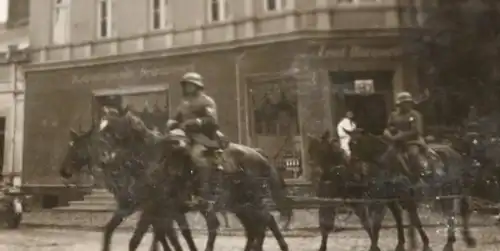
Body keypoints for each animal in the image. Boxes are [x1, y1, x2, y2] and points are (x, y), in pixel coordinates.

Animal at [94, 108, 290, 251]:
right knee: (256, 226)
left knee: (262, 222)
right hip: (239, 205)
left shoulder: (154, 209)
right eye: (100, 131)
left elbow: (143, 239)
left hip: (248, 202)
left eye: (111, 132)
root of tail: (258, 154)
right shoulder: (155, 211)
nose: (102, 160)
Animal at [350, 130, 478, 251]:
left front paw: (425, 244)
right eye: (349, 145)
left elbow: (415, 221)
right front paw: (394, 244)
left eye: (356, 145)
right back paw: (458, 239)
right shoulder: (390, 200)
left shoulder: (407, 199)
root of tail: (454, 152)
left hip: (451, 189)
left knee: (457, 211)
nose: (354, 170)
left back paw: (457, 241)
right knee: (456, 211)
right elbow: (386, 221)